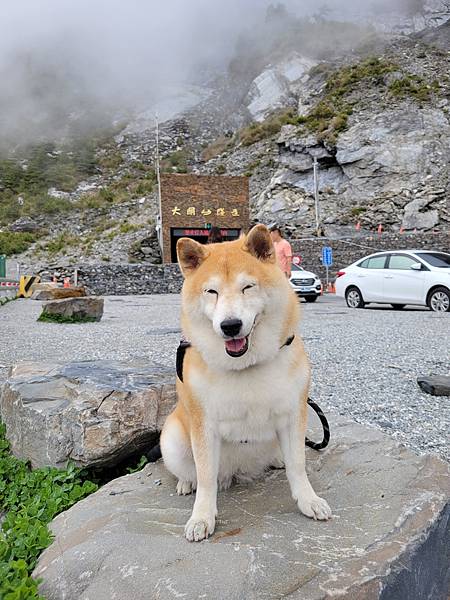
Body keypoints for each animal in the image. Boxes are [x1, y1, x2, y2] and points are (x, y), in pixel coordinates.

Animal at [161, 223, 330, 540]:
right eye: (211, 291)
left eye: (247, 287)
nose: (230, 325)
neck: (246, 366)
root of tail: (236, 471)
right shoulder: (204, 424)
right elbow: (205, 477)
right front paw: (202, 517)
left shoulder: (293, 414)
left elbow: (298, 465)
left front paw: (308, 500)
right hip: (173, 438)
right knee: (189, 472)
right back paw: (185, 483)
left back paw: (277, 460)